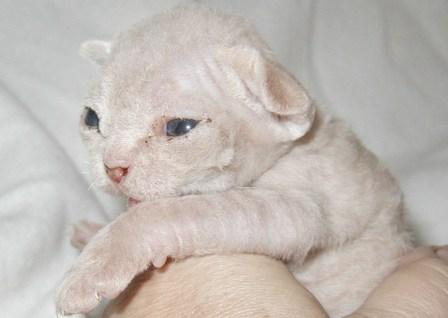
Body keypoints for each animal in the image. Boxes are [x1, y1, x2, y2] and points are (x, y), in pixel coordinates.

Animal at [56, 5, 412, 318]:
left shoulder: (300, 208)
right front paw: (91, 232)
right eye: (91, 119)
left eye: (180, 128)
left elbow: (166, 212)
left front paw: (92, 268)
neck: (290, 150)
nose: (112, 168)